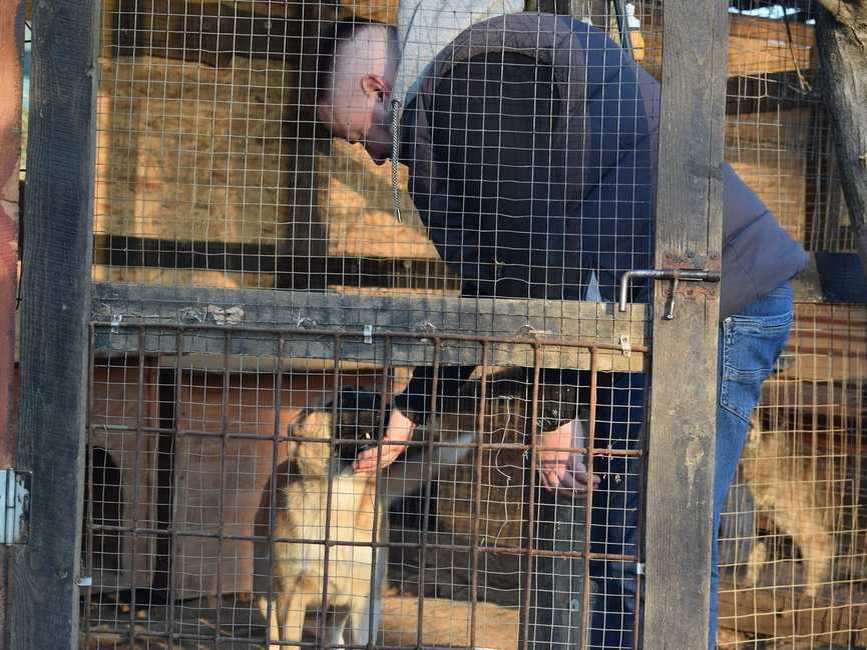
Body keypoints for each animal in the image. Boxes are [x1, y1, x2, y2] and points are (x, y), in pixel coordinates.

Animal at [253, 396, 475, 649]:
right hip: (264, 589)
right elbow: (287, 640)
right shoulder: (290, 597)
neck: (341, 497)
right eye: (339, 399)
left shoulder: (365, 599)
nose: (384, 407)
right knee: (272, 631)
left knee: (334, 633)